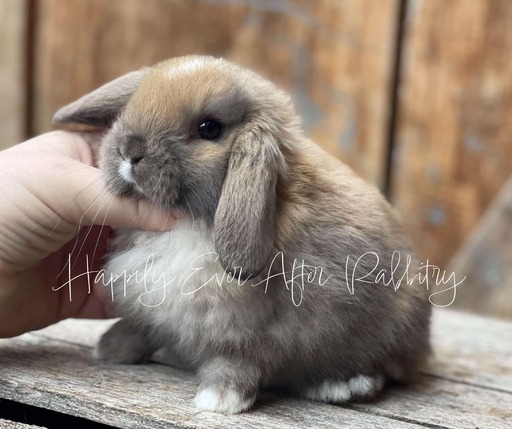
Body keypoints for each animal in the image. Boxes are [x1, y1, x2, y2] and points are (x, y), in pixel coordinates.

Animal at [54, 55, 432, 412]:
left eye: (209, 128)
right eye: (131, 106)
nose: (130, 151)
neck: (191, 223)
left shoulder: (251, 330)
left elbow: (237, 361)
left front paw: (220, 399)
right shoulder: (149, 308)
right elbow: (140, 328)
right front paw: (110, 349)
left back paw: (343, 386)